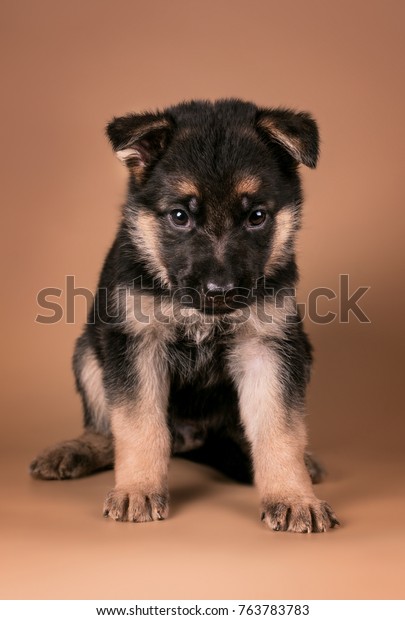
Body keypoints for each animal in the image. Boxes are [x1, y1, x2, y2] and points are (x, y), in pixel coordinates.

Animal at [30, 98, 338, 532]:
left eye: (256, 217)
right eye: (180, 216)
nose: (219, 291)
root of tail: (193, 437)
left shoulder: (268, 347)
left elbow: (279, 428)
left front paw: (293, 496)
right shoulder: (136, 342)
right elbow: (139, 425)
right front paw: (138, 490)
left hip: (302, 353)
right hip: (88, 352)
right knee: (107, 429)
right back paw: (79, 449)